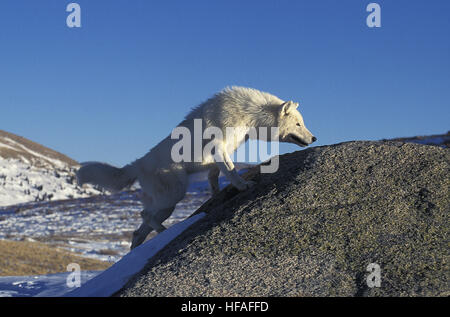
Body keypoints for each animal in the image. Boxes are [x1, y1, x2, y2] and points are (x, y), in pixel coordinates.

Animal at [76, 85, 316, 248]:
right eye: (298, 124)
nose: (314, 138)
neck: (247, 114)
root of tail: (137, 163)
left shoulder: (220, 154)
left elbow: (215, 175)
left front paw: (217, 193)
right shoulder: (219, 148)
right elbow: (230, 170)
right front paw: (243, 186)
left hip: (167, 205)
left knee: (139, 228)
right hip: (174, 195)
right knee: (145, 215)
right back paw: (167, 231)